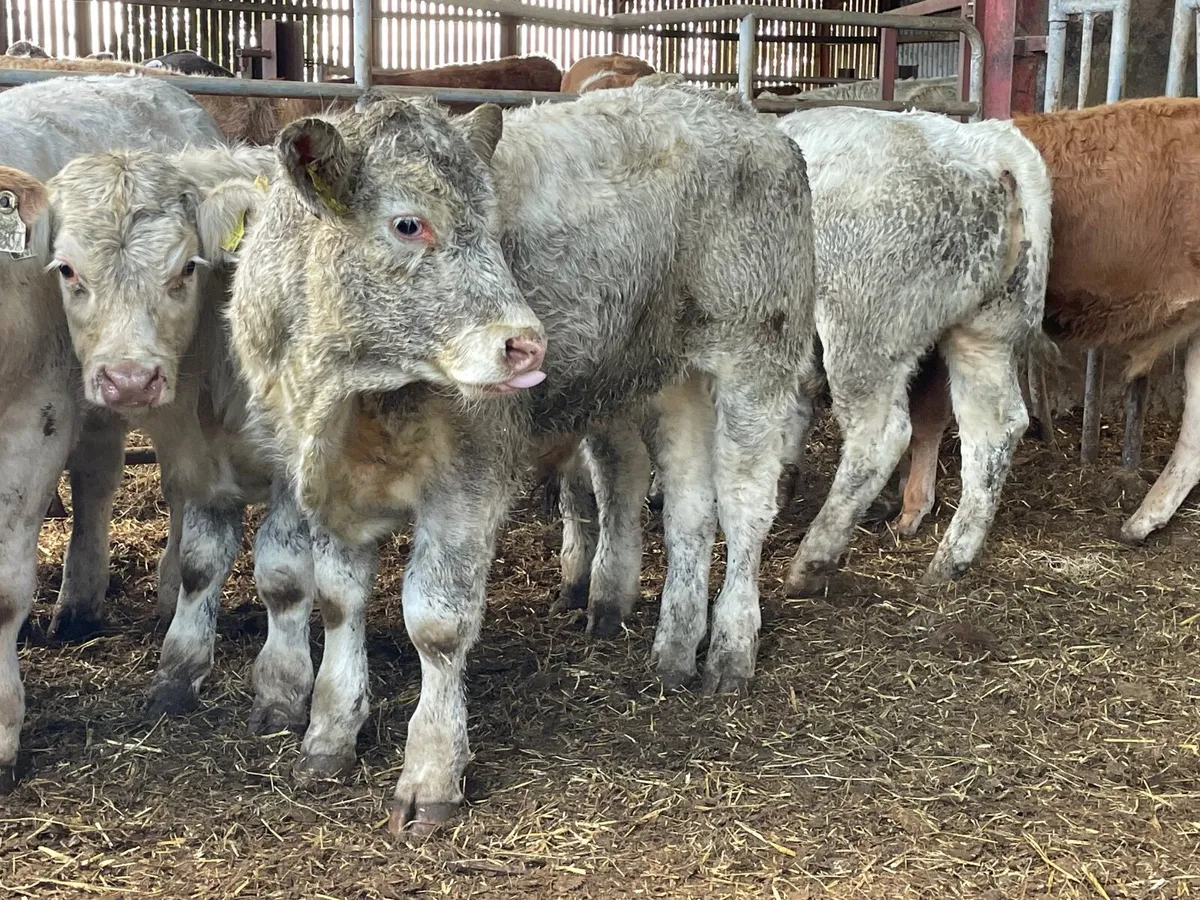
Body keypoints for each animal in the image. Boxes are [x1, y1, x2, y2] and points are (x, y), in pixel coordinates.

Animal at [224, 83, 817, 833]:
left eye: (493, 224)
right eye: (408, 224)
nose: (528, 345)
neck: (347, 395)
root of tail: (754, 123)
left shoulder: (470, 475)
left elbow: (437, 624)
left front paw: (432, 771)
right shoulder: (330, 486)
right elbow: (337, 603)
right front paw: (329, 733)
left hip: (757, 357)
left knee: (744, 512)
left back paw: (732, 652)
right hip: (672, 380)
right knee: (688, 511)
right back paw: (674, 651)